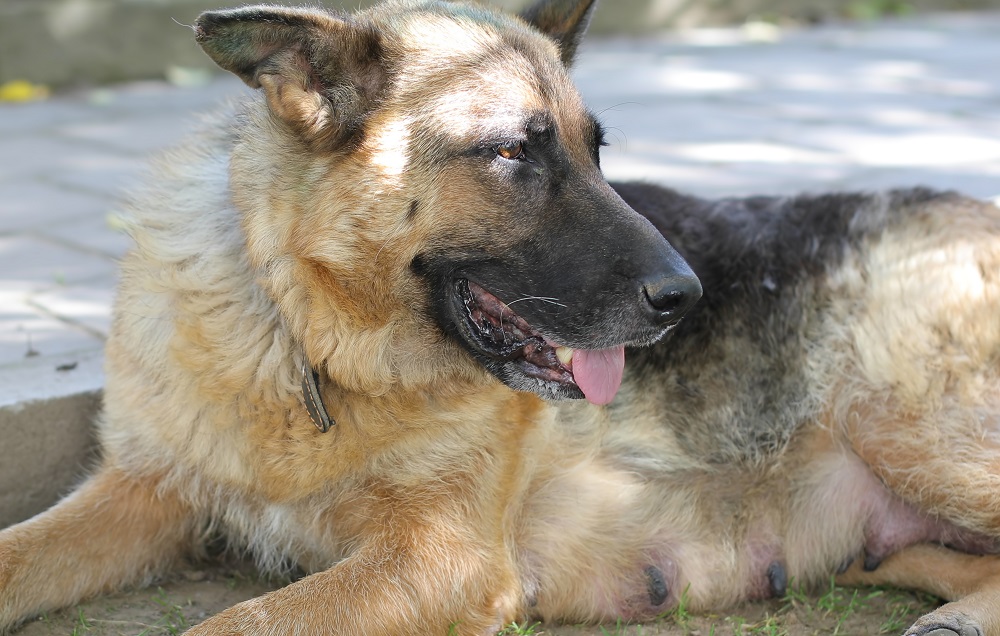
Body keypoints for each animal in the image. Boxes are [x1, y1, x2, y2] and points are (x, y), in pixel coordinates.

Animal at [1, 1, 1000, 636]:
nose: (689, 296)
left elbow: (236, 626)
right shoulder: (144, 493)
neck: (310, 342)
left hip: (904, 423)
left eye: (598, 153)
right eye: (516, 153)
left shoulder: (437, 560)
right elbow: (16, 556)